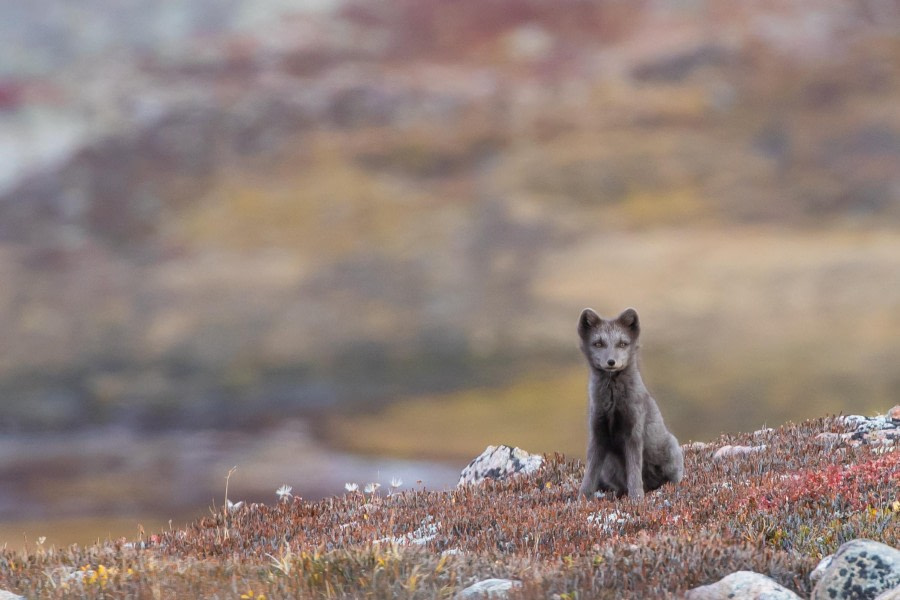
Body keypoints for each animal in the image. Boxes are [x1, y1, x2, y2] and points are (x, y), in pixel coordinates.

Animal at [576, 308, 684, 500]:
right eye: (598, 344)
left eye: (622, 344)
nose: (611, 362)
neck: (612, 403)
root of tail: (652, 486)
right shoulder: (597, 432)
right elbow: (590, 473)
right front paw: (582, 498)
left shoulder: (633, 432)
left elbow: (634, 472)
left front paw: (636, 499)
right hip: (609, 466)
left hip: (671, 449)